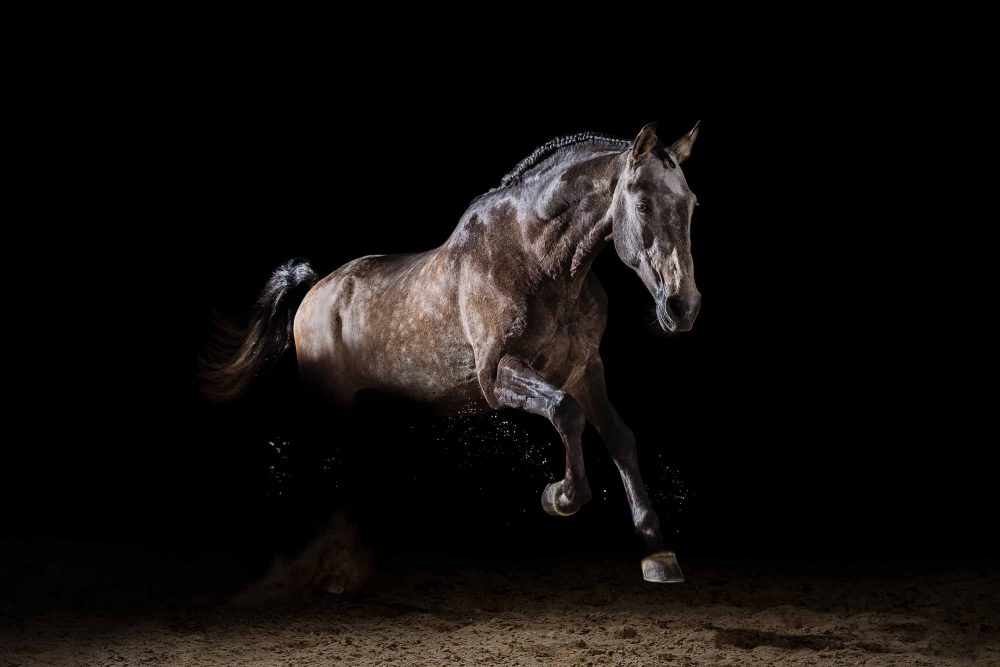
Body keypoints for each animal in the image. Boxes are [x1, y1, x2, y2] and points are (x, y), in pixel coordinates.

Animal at [202, 122, 702, 583]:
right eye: (642, 204)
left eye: (692, 203)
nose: (683, 306)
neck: (538, 259)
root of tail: (313, 291)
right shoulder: (498, 374)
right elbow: (566, 413)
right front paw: (559, 497)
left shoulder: (584, 369)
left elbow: (620, 437)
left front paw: (658, 553)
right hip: (327, 405)